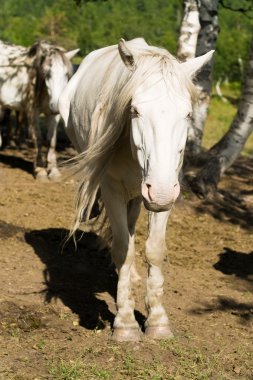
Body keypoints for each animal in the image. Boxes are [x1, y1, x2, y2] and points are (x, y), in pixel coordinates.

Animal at [0, 40, 78, 180]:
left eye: (66, 74)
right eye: (47, 74)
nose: (56, 106)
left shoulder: (54, 115)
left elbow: (51, 140)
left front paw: (53, 170)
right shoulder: (32, 112)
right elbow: (38, 138)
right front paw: (40, 170)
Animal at [58, 38, 213, 342]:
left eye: (188, 114)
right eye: (136, 110)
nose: (160, 191)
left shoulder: (164, 190)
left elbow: (154, 249)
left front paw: (157, 321)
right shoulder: (112, 189)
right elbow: (123, 250)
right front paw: (126, 324)